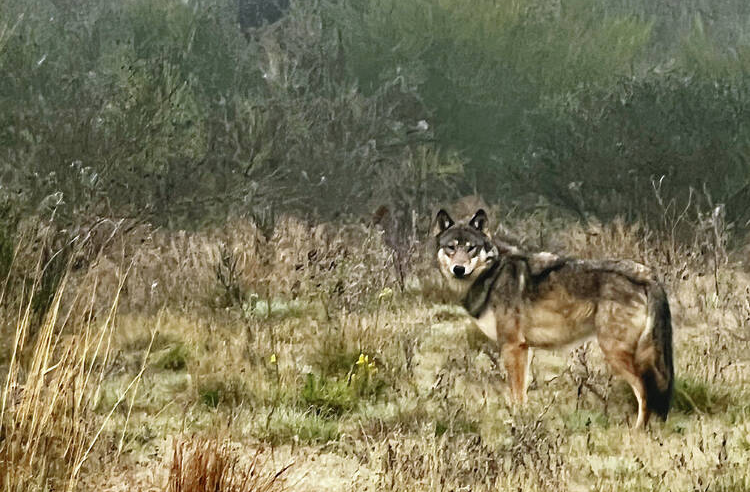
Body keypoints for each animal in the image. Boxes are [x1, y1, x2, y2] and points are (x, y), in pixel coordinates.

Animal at [434, 209, 676, 428]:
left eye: (470, 248)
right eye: (451, 247)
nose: (459, 269)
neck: (493, 275)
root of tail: (647, 275)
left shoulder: (512, 346)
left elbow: (515, 394)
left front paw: (517, 423)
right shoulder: (524, 349)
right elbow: (521, 393)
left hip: (616, 353)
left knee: (646, 392)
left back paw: (638, 431)